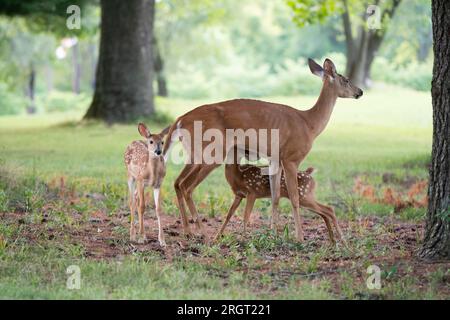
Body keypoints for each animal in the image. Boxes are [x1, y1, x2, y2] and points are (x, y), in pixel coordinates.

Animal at [162, 58, 362, 241]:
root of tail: (179, 120)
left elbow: (275, 196)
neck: (310, 124)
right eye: (345, 79)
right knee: (187, 186)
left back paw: (188, 231)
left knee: (177, 182)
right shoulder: (291, 157)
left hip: (194, 154)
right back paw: (201, 231)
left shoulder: (275, 159)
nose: (360, 91)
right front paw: (299, 237)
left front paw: (273, 233)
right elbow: (294, 198)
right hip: (212, 152)